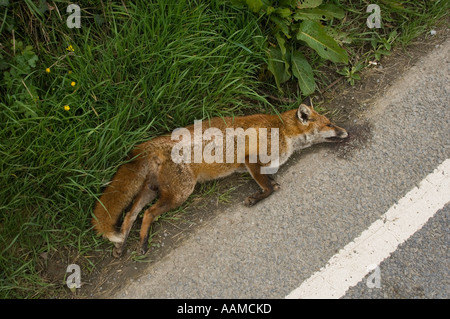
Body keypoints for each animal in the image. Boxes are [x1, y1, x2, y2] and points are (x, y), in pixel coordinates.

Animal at [91, 99, 348, 258]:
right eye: (329, 124)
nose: (347, 132)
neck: (282, 132)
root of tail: (150, 143)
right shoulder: (251, 159)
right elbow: (270, 188)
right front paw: (255, 198)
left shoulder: (255, 166)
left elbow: (271, 183)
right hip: (179, 193)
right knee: (147, 214)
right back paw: (142, 243)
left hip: (153, 189)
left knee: (129, 216)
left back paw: (121, 245)